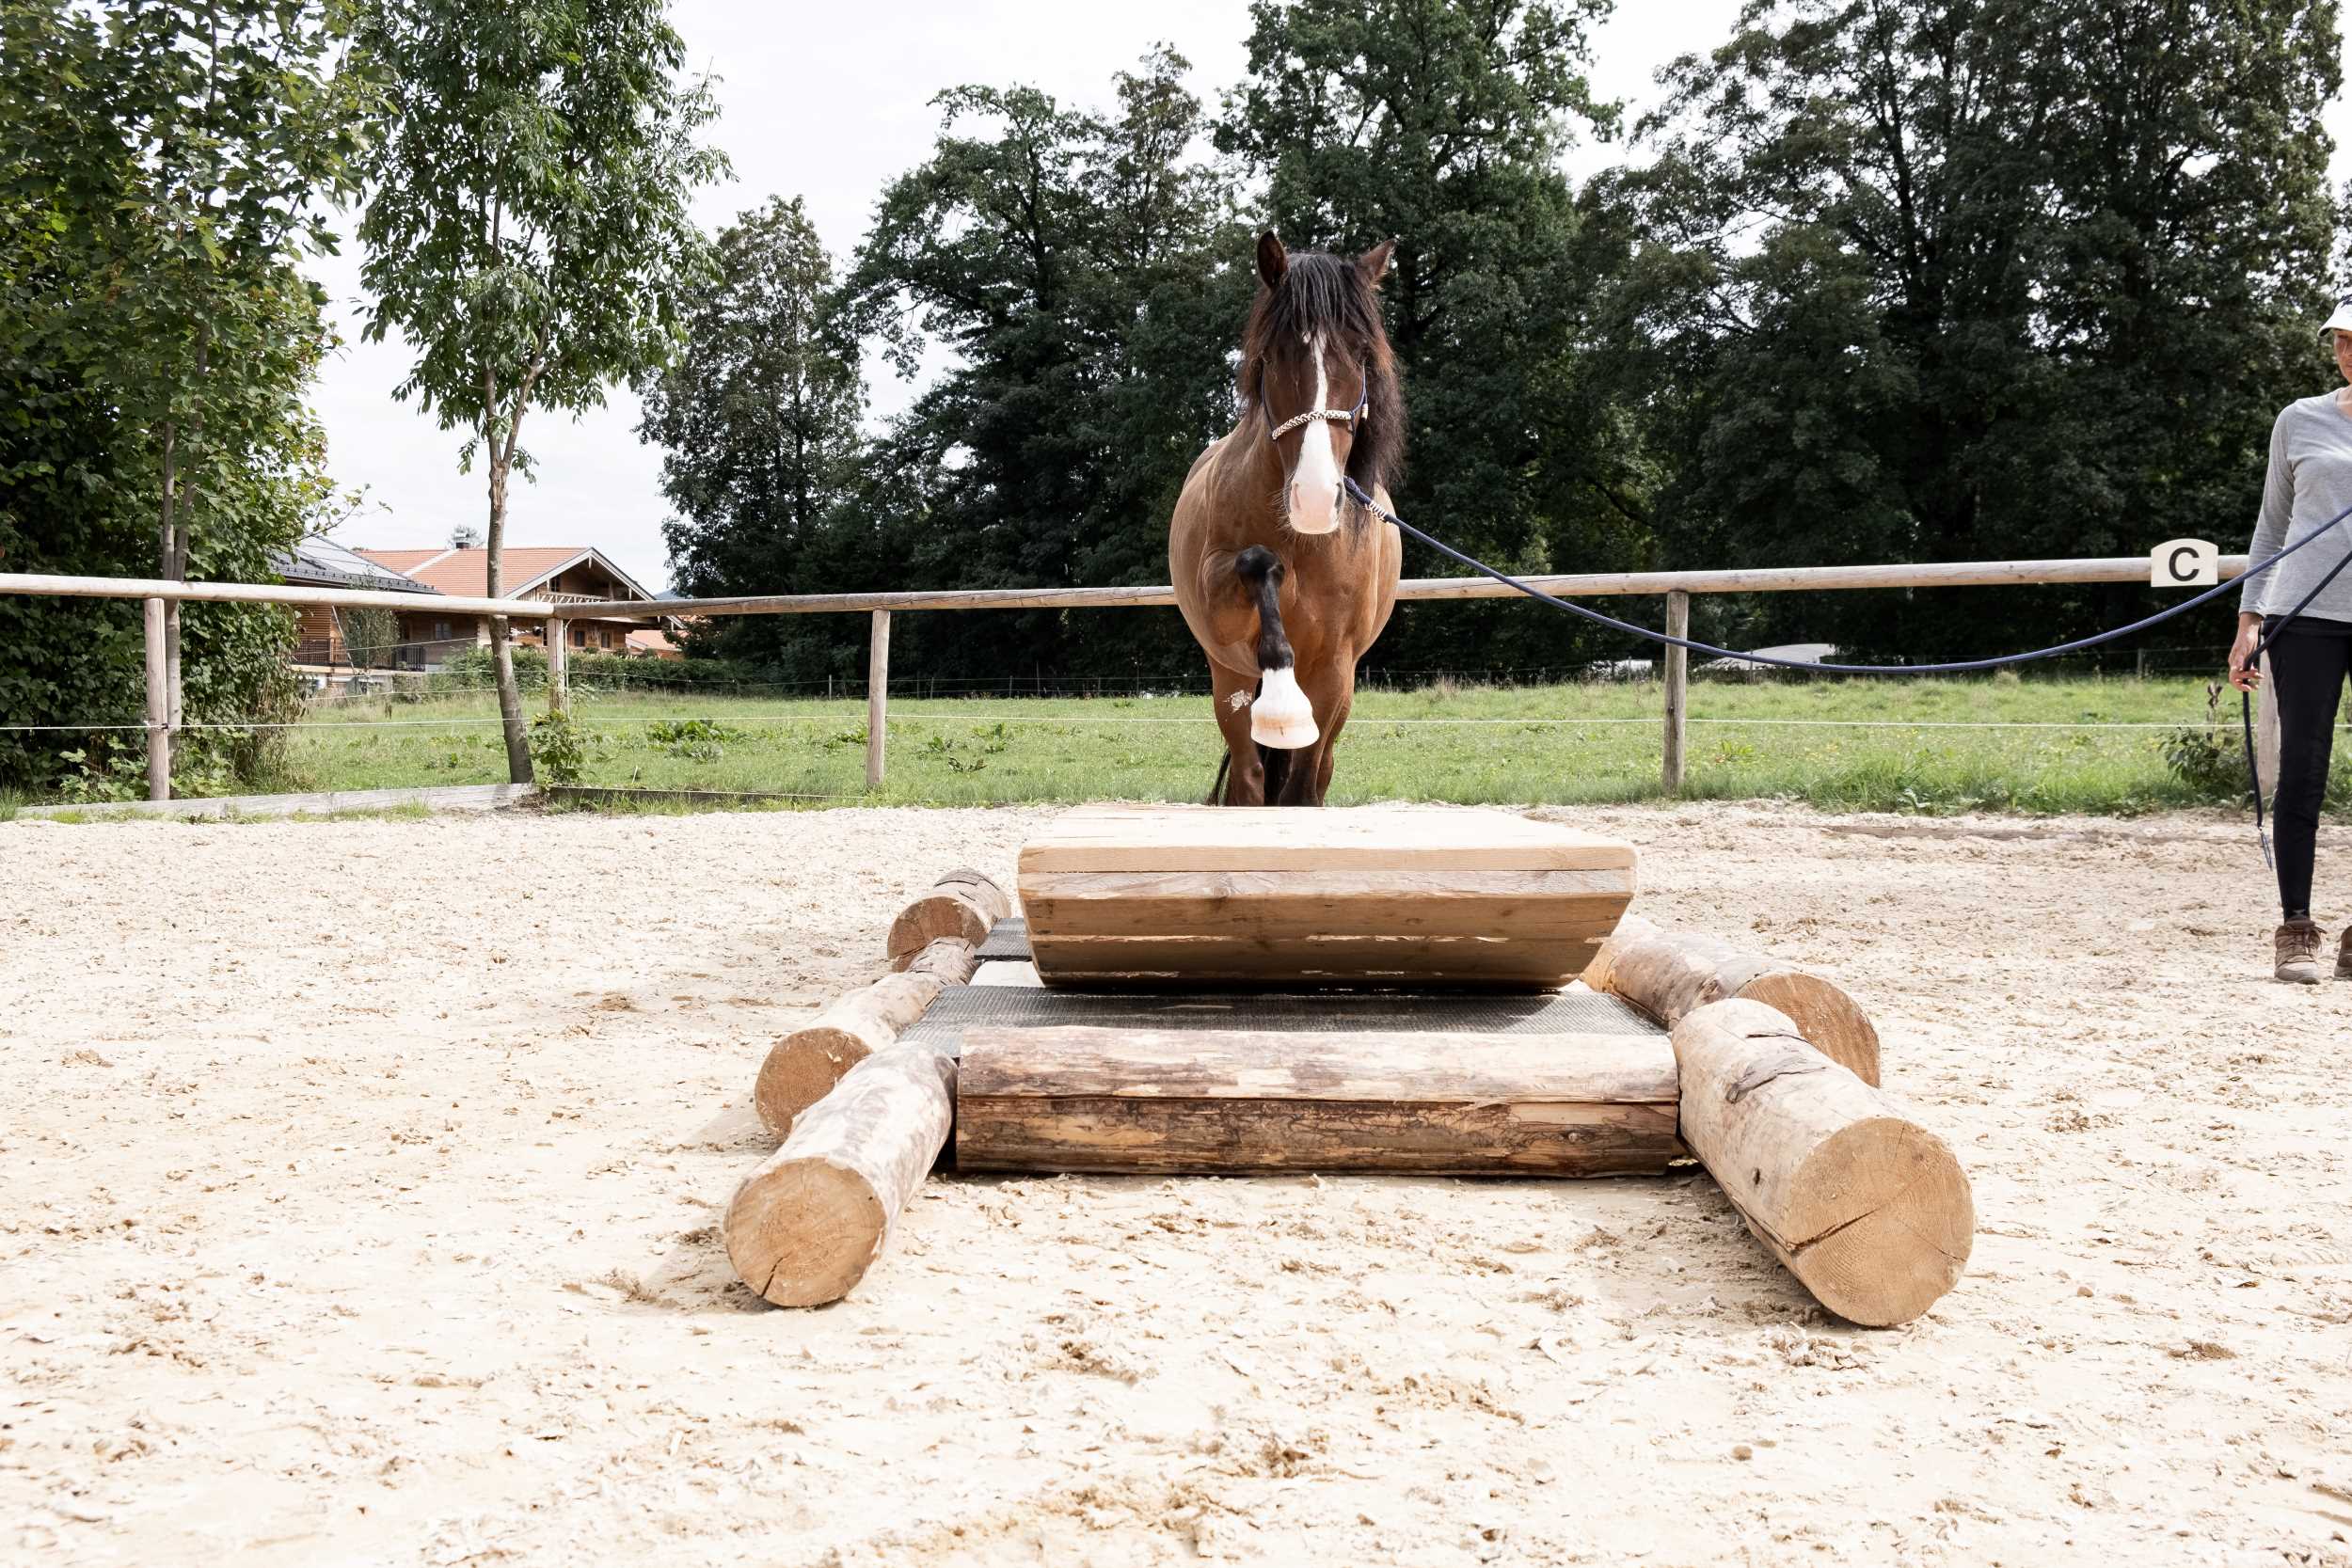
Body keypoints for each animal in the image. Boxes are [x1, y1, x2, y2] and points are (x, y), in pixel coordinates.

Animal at [1171, 232, 1402, 808]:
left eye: (1362, 354)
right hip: (1227, 681)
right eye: (1273, 355)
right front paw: (1281, 706)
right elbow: (1258, 562)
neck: (1304, 544)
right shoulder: (1220, 600)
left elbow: (1302, 787)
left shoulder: (1335, 670)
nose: (1315, 499)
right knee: (1249, 780)